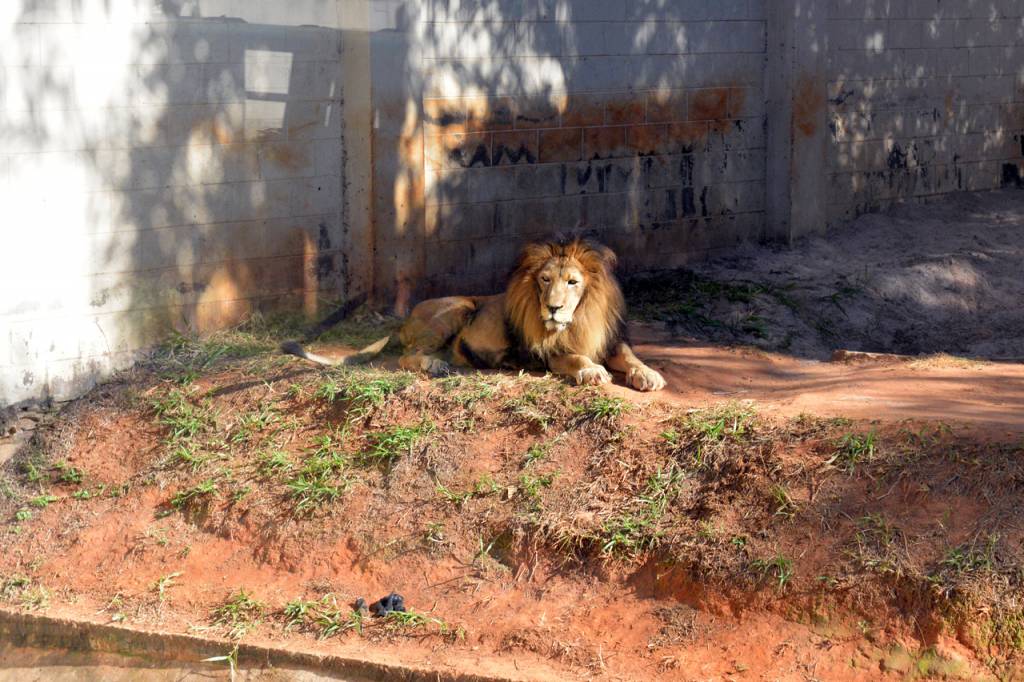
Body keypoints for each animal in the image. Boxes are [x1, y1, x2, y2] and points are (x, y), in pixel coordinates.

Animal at [282, 237, 666, 392]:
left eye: (572, 282)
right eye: (545, 280)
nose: (553, 307)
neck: (579, 320)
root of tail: (404, 322)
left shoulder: (611, 339)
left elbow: (631, 357)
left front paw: (649, 375)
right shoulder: (545, 354)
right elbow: (575, 358)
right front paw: (593, 371)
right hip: (459, 307)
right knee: (407, 356)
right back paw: (436, 365)